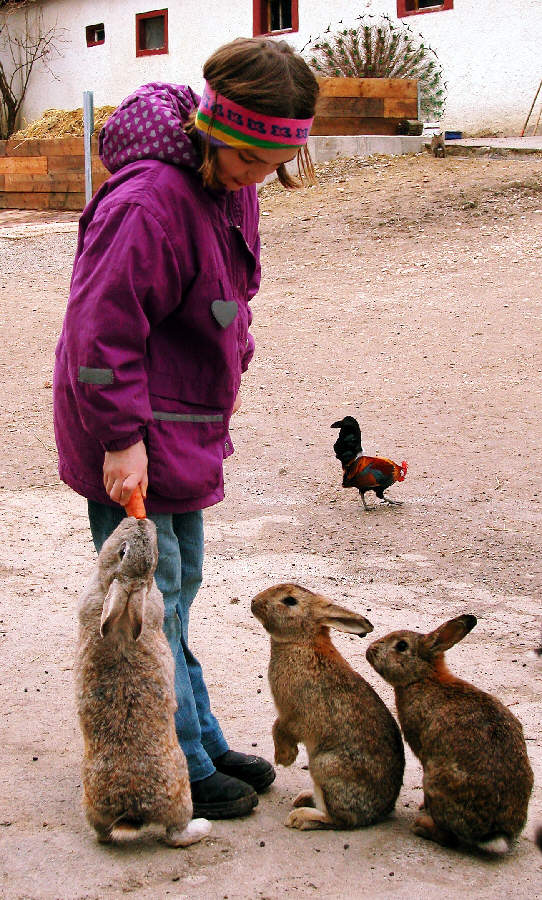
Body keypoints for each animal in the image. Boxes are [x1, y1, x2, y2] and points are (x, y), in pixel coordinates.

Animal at [74, 516, 212, 848]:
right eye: (123, 551)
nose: (140, 520)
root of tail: (132, 807)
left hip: (96, 805)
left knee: (107, 835)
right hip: (176, 793)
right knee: (174, 834)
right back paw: (204, 827)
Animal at [251, 584, 404, 828]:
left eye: (290, 601)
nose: (254, 602)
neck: (302, 641)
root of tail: (379, 812)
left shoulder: (296, 716)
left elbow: (278, 727)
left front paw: (285, 758)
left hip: (324, 765)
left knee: (337, 819)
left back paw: (299, 817)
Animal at [366, 616, 536, 856]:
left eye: (401, 646)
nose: (370, 650)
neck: (423, 678)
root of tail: (494, 833)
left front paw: (423, 807)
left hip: (434, 778)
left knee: (449, 838)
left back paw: (421, 826)